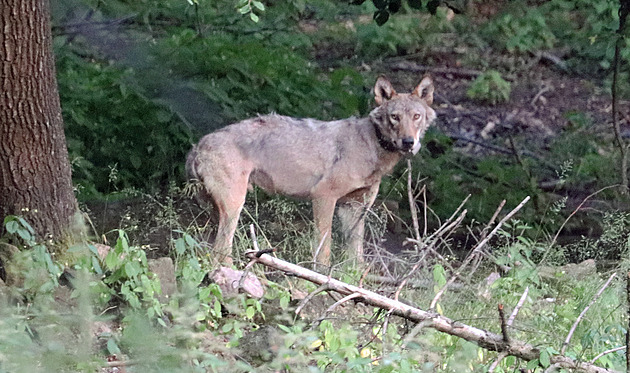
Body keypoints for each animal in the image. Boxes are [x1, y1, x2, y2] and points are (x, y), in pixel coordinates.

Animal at [185, 75, 436, 266]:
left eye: (416, 117)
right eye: (395, 117)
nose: (408, 142)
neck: (371, 145)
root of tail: (199, 144)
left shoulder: (355, 207)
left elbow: (356, 255)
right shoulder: (323, 196)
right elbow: (324, 248)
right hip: (234, 205)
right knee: (220, 250)